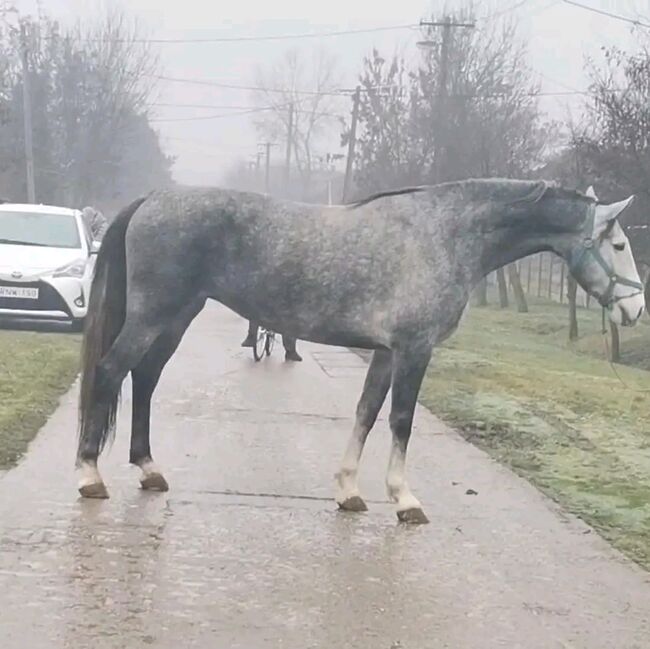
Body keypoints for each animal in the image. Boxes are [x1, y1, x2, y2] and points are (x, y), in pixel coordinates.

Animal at [74, 177, 644, 520]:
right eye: (619, 245)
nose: (636, 310)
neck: (445, 234)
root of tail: (152, 200)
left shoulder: (386, 352)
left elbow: (366, 413)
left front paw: (348, 490)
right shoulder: (414, 349)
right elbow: (401, 421)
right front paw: (404, 499)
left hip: (177, 318)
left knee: (145, 379)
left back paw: (149, 469)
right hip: (154, 316)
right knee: (110, 371)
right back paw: (89, 475)